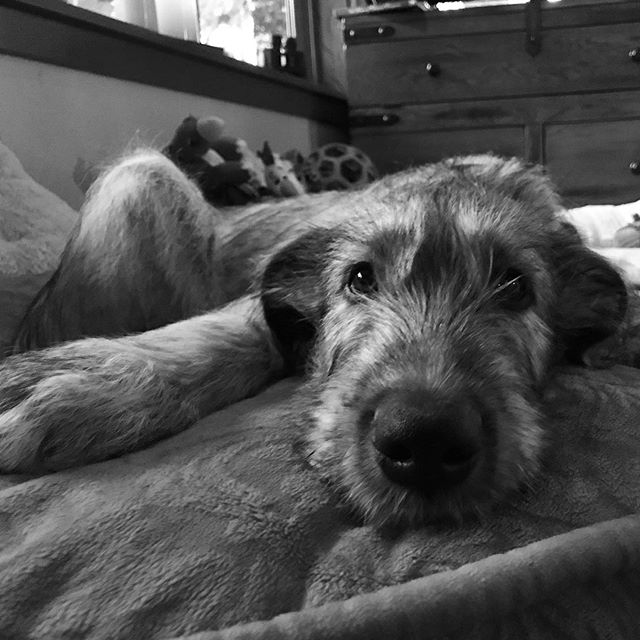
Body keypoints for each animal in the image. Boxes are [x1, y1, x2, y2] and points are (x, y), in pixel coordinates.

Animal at [0, 149, 628, 524]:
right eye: (359, 278)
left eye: (516, 287)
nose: (423, 438)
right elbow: (239, 329)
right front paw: (102, 381)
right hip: (143, 177)